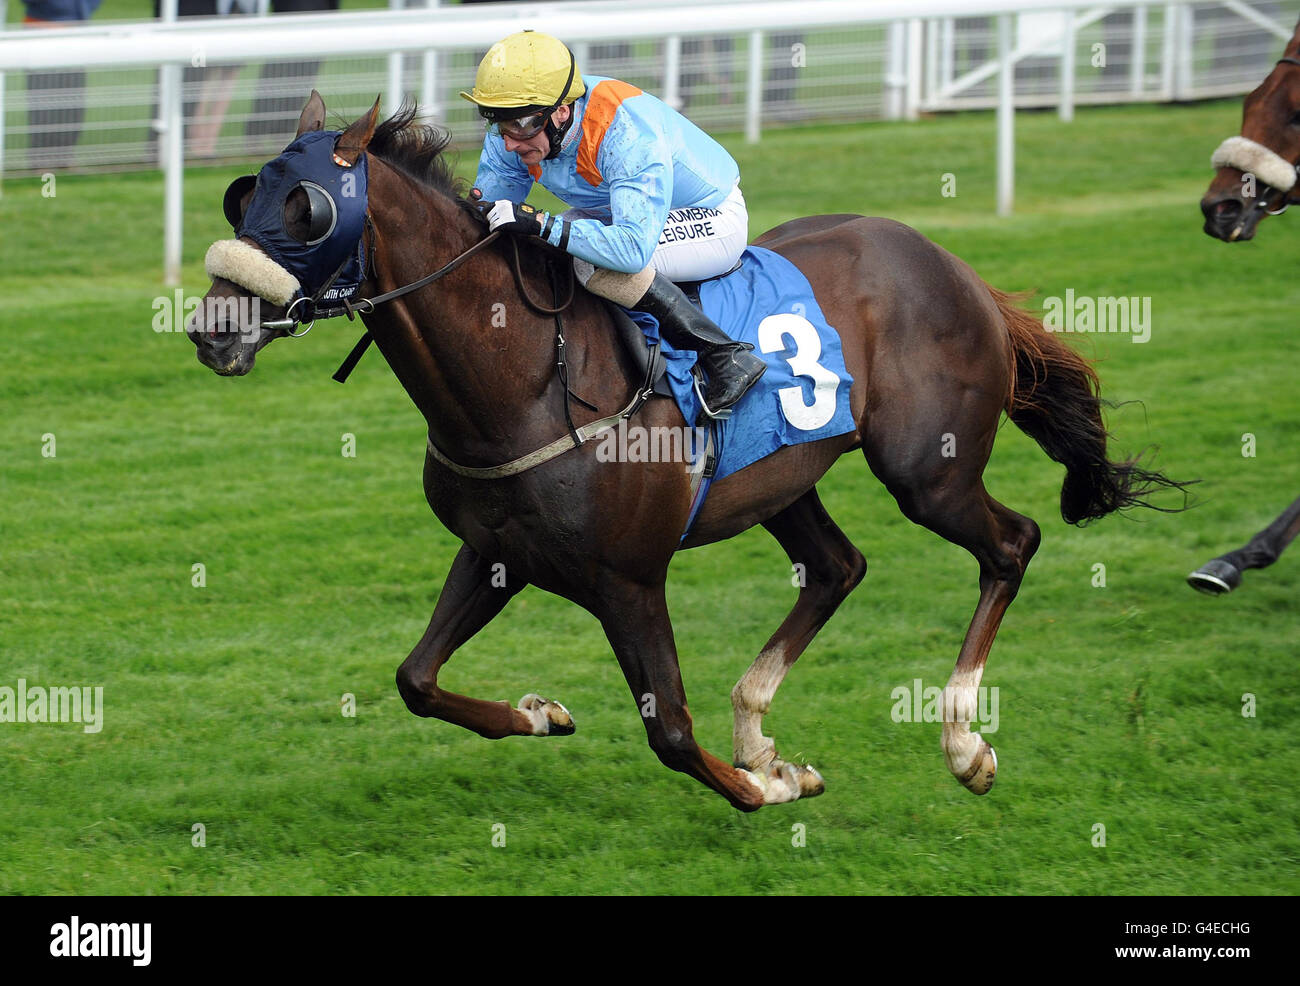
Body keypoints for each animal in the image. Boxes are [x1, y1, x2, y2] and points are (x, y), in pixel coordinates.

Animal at [188, 94, 1185, 811]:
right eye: (245, 194)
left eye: (306, 210)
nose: (210, 330)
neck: (523, 379)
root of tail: (954, 264)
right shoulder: (499, 550)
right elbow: (416, 680)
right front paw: (542, 713)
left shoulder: (629, 578)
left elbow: (668, 730)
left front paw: (768, 786)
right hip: (781, 478)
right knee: (839, 567)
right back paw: (758, 728)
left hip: (926, 472)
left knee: (1010, 544)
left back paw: (962, 743)